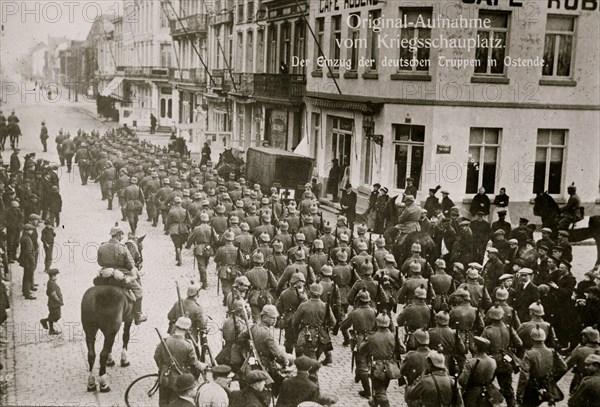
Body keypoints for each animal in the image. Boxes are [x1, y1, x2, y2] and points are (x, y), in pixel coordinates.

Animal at [81, 234, 145, 394]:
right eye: (140, 247)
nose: (139, 262)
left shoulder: (108, 328)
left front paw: (111, 360)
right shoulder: (127, 319)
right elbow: (125, 337)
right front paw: (124, 359)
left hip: (89, 329)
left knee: (91, 354)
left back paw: (91, 383)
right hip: (111, 327)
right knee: (101, 354)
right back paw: (103, 383)